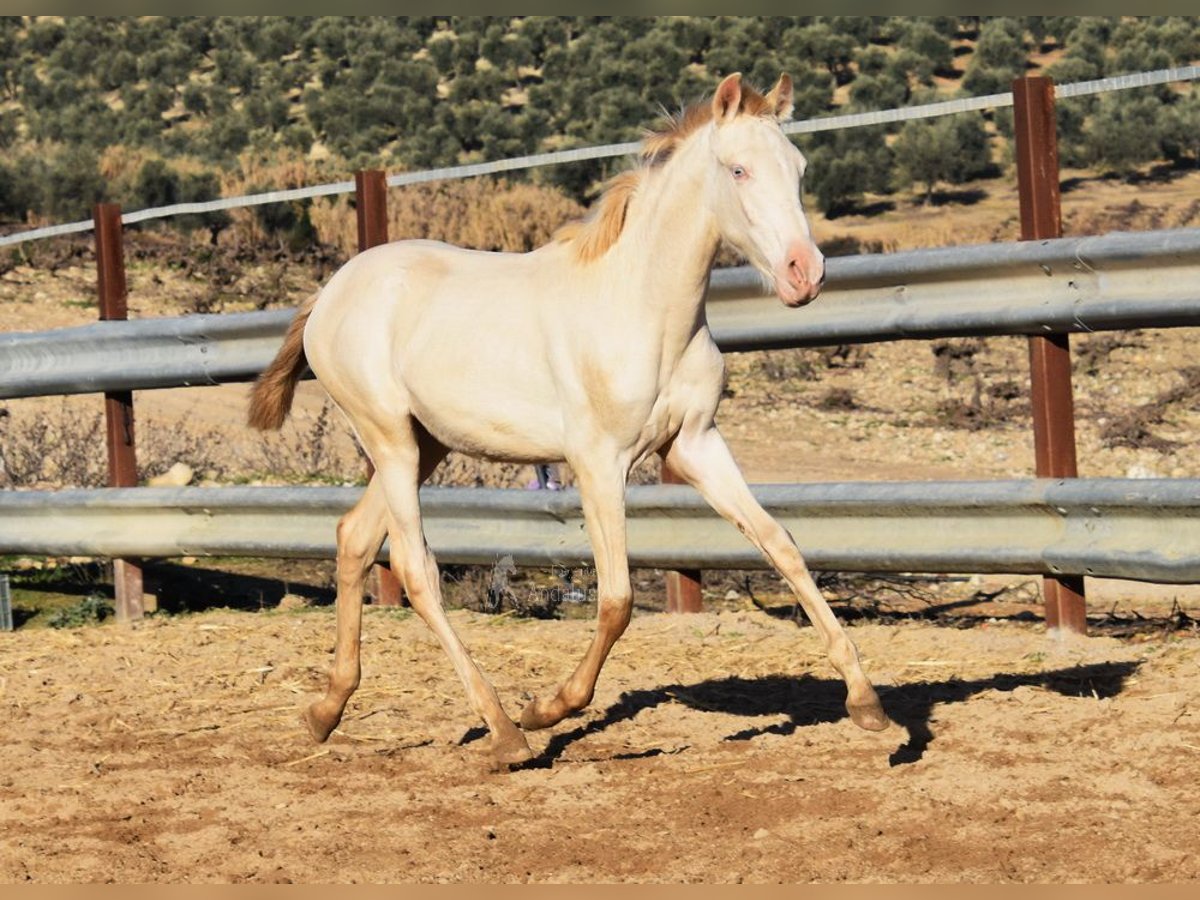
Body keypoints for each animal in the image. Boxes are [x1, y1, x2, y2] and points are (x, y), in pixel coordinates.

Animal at [248, 74, 892, 772]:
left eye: (799, 169)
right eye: (738, 169)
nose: (807, 273)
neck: (644, 308)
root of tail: (329, 293)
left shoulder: (693, 445)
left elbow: (782, 545)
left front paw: (868, 705)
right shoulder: (598, 462)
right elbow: (616, 600)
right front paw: (548, 707)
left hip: (427, 445)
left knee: (354, 538)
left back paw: (325, 711)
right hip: (388, 438)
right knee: (418, 571)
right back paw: (505, 731)